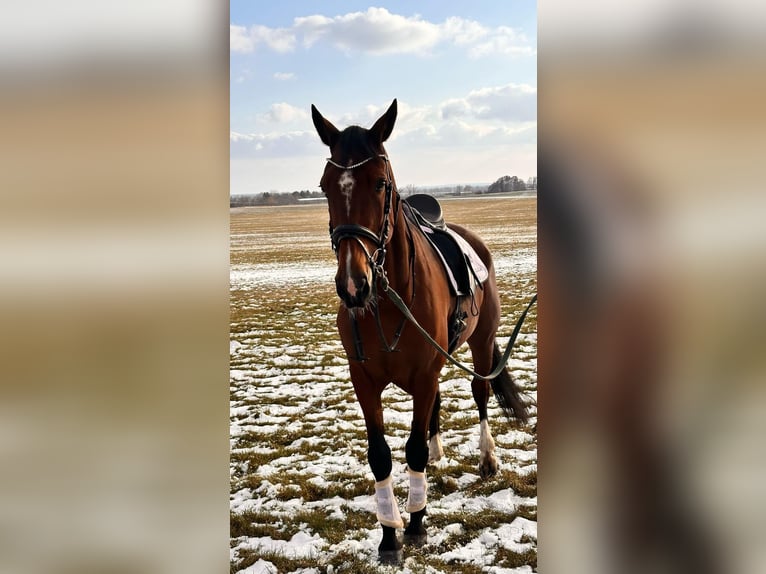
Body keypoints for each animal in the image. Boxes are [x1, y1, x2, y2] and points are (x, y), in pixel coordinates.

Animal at [310, 99, 528, 564]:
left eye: (380, 184)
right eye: (325, 186)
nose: (353, 284)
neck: (387, 299)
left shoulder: (425, 373)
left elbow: (410, 449)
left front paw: (414, 524)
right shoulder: (364, 380)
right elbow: (380, 455)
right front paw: (389, 534)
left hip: (481, 343)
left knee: (480, 394)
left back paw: (487, 458)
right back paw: (438, 448)